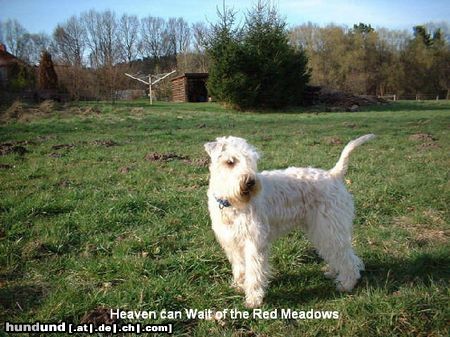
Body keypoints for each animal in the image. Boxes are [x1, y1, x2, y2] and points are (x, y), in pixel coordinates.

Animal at [204, 134, 376, 308]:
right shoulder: (232, 241)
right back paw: (333, 272)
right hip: (321, 229)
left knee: (347, 257)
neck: (229, 203)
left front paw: (253, 299)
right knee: (337, 253)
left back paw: (346, 284)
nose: (250, 182)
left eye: (252, 160)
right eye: (230, 161)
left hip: (329, 228)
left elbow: (254, 271)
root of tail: (333, 174)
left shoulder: (254, 241)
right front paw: (239, 285)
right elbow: (239, 267)